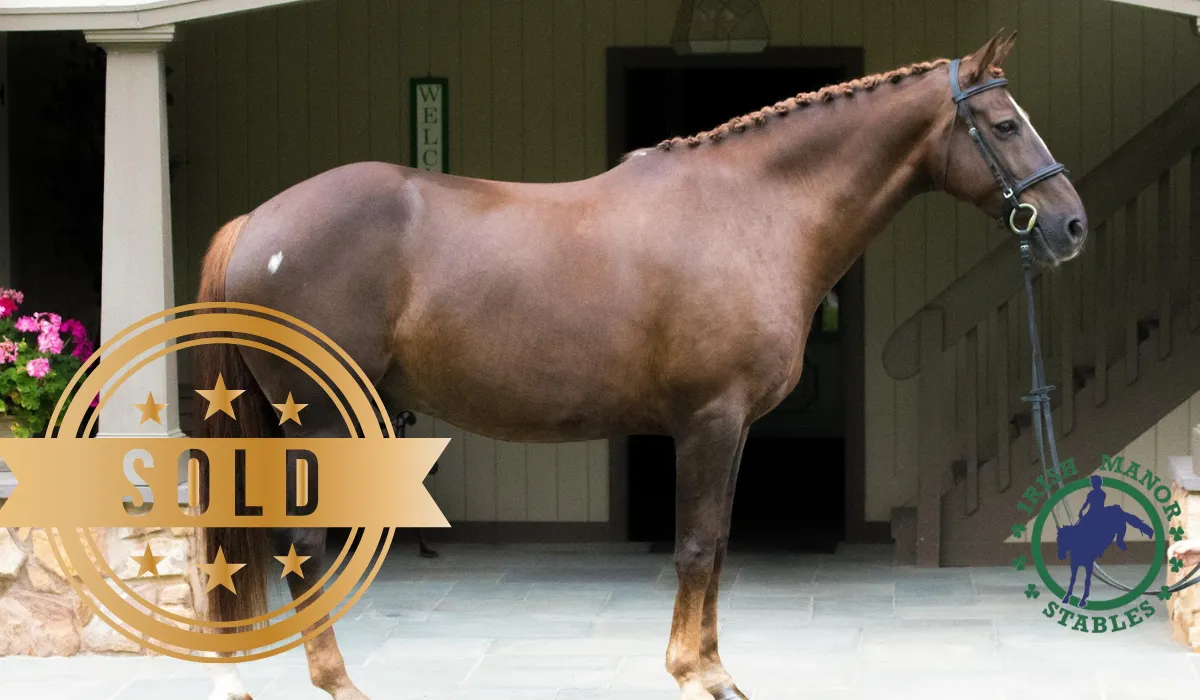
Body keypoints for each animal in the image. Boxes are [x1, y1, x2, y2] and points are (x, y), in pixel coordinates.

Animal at [196, 31, 1086, 700]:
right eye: (1005, 125)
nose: (1070, 226)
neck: (752, 212)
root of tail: (257, 223)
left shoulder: (733, 428)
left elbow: (718, 543)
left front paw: (716, 668)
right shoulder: (709, 421)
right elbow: (694, 545)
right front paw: (695, 673)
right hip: (314, 419)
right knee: (302, 542)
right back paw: (337, 680)